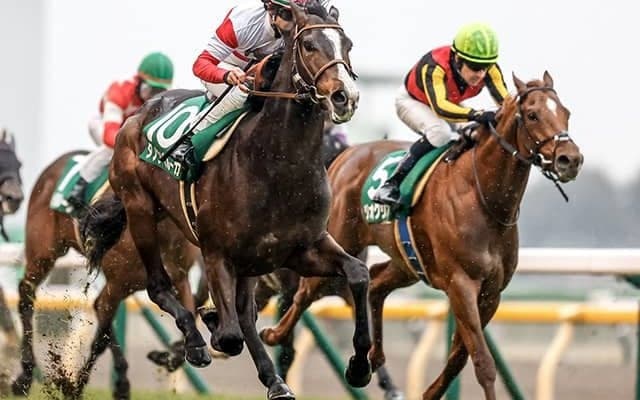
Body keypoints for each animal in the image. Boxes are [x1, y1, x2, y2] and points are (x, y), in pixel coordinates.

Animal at [11, 150, 200, 399]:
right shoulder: (118, 283)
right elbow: (100, 340)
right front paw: (75, 387)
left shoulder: (180, 278)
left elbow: (190, 315)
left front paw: (167, 357)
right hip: (43, 252)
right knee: (26, 293)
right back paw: (24, 376)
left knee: (98, 308)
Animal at [81, 2, 372, 398]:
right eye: (309, 45)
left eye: (349, 45)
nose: (346, 97)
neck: (279, 165)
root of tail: (137, 116)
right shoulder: (217, 252)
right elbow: (230, 335)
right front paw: (210, 324)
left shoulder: (301, 249)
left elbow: (358, 273)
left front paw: (359, 367)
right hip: (140, 209)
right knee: (159, 287)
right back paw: (196, 341)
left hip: (250, 259)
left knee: (245, 315)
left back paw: (274, 380)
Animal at [259, 71, 584, 399]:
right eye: (532, 115)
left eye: (566, 112)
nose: (570, 159)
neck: (484, 200)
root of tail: (347, 155)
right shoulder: (461, 284)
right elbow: (482, 360)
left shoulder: (491, 293)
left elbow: (459, 358)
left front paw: (429, 393)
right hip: (343, 240)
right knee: (306, 292)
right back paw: (273, 334)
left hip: (408, 261)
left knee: (376, 282)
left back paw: (373, 357)